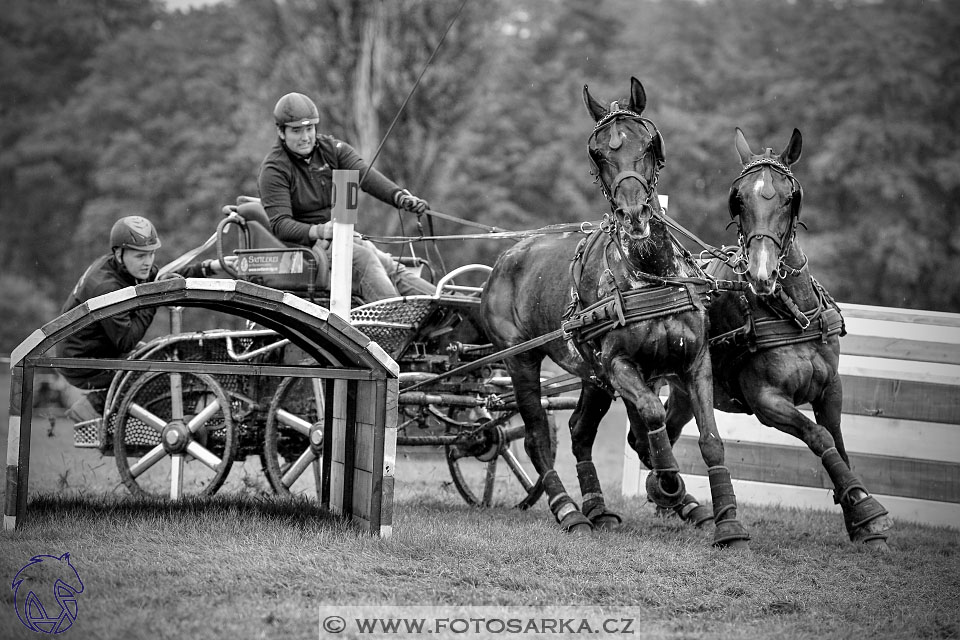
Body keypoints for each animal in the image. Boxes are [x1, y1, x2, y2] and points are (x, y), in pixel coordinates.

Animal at [480, 77, 752, 548]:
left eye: (650, 143)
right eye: (596, 153)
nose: (633, 215)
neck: (650, 274)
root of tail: (507, 257)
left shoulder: (694, 362)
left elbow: (710, 438)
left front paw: (725, 520)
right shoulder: (620, 365)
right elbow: (653, 417)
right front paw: (668, 483)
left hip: (591, 374)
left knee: (579, 431)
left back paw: (599, 507)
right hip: (521, 360)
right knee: (536, 437)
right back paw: (569, 509)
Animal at [660, 127, 892, 548]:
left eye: (789, 197)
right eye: (738, 199)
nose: (762, 273)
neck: (791, 314)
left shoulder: (831, 387)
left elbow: (838, 439)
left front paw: (859, 514)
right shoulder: (766, 401)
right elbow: (819, 436)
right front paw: (865, 507)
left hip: (686, 389)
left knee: (664, 431)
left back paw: (675, 501)